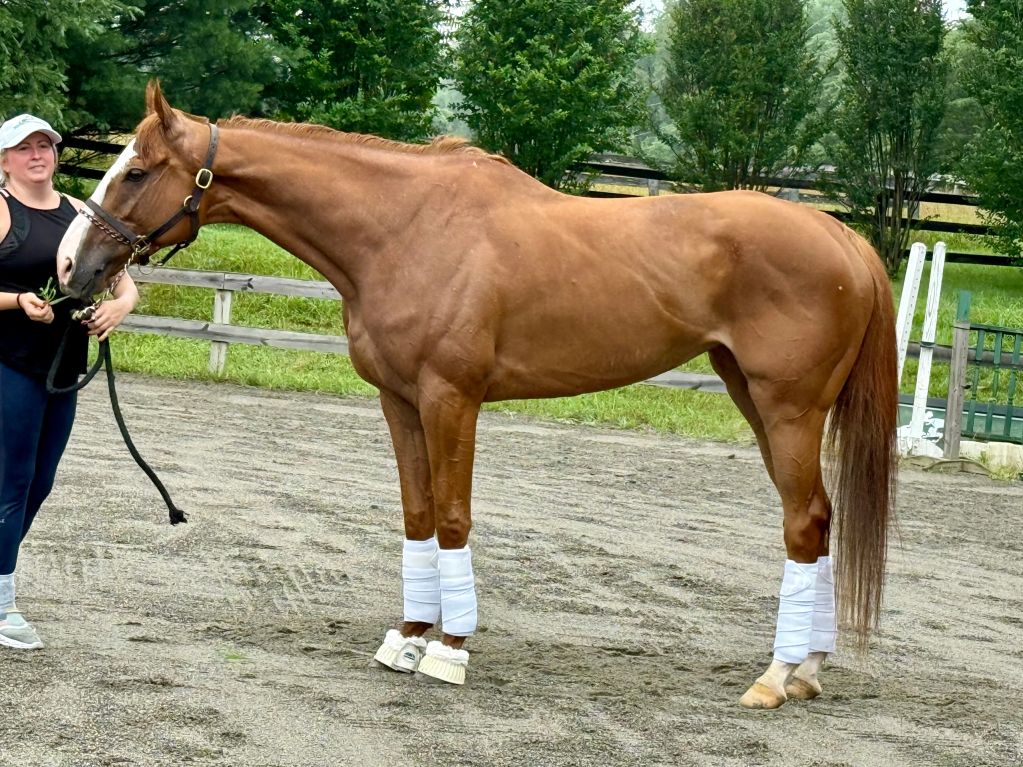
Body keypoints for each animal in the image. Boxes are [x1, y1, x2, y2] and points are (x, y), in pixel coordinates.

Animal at [57, 82, 897, 709]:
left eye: (136, 171)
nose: (71, 265)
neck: (405, 229)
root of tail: (842, 236)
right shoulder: (398, 402)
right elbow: (418, 515)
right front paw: (407, 636)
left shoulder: (449, 399)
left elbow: (454, 516)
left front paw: (450, 651)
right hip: (750, 396)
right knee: (819, 520)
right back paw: (808, 666)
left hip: (787, 409)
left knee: (802, 522)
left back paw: (776, 676)